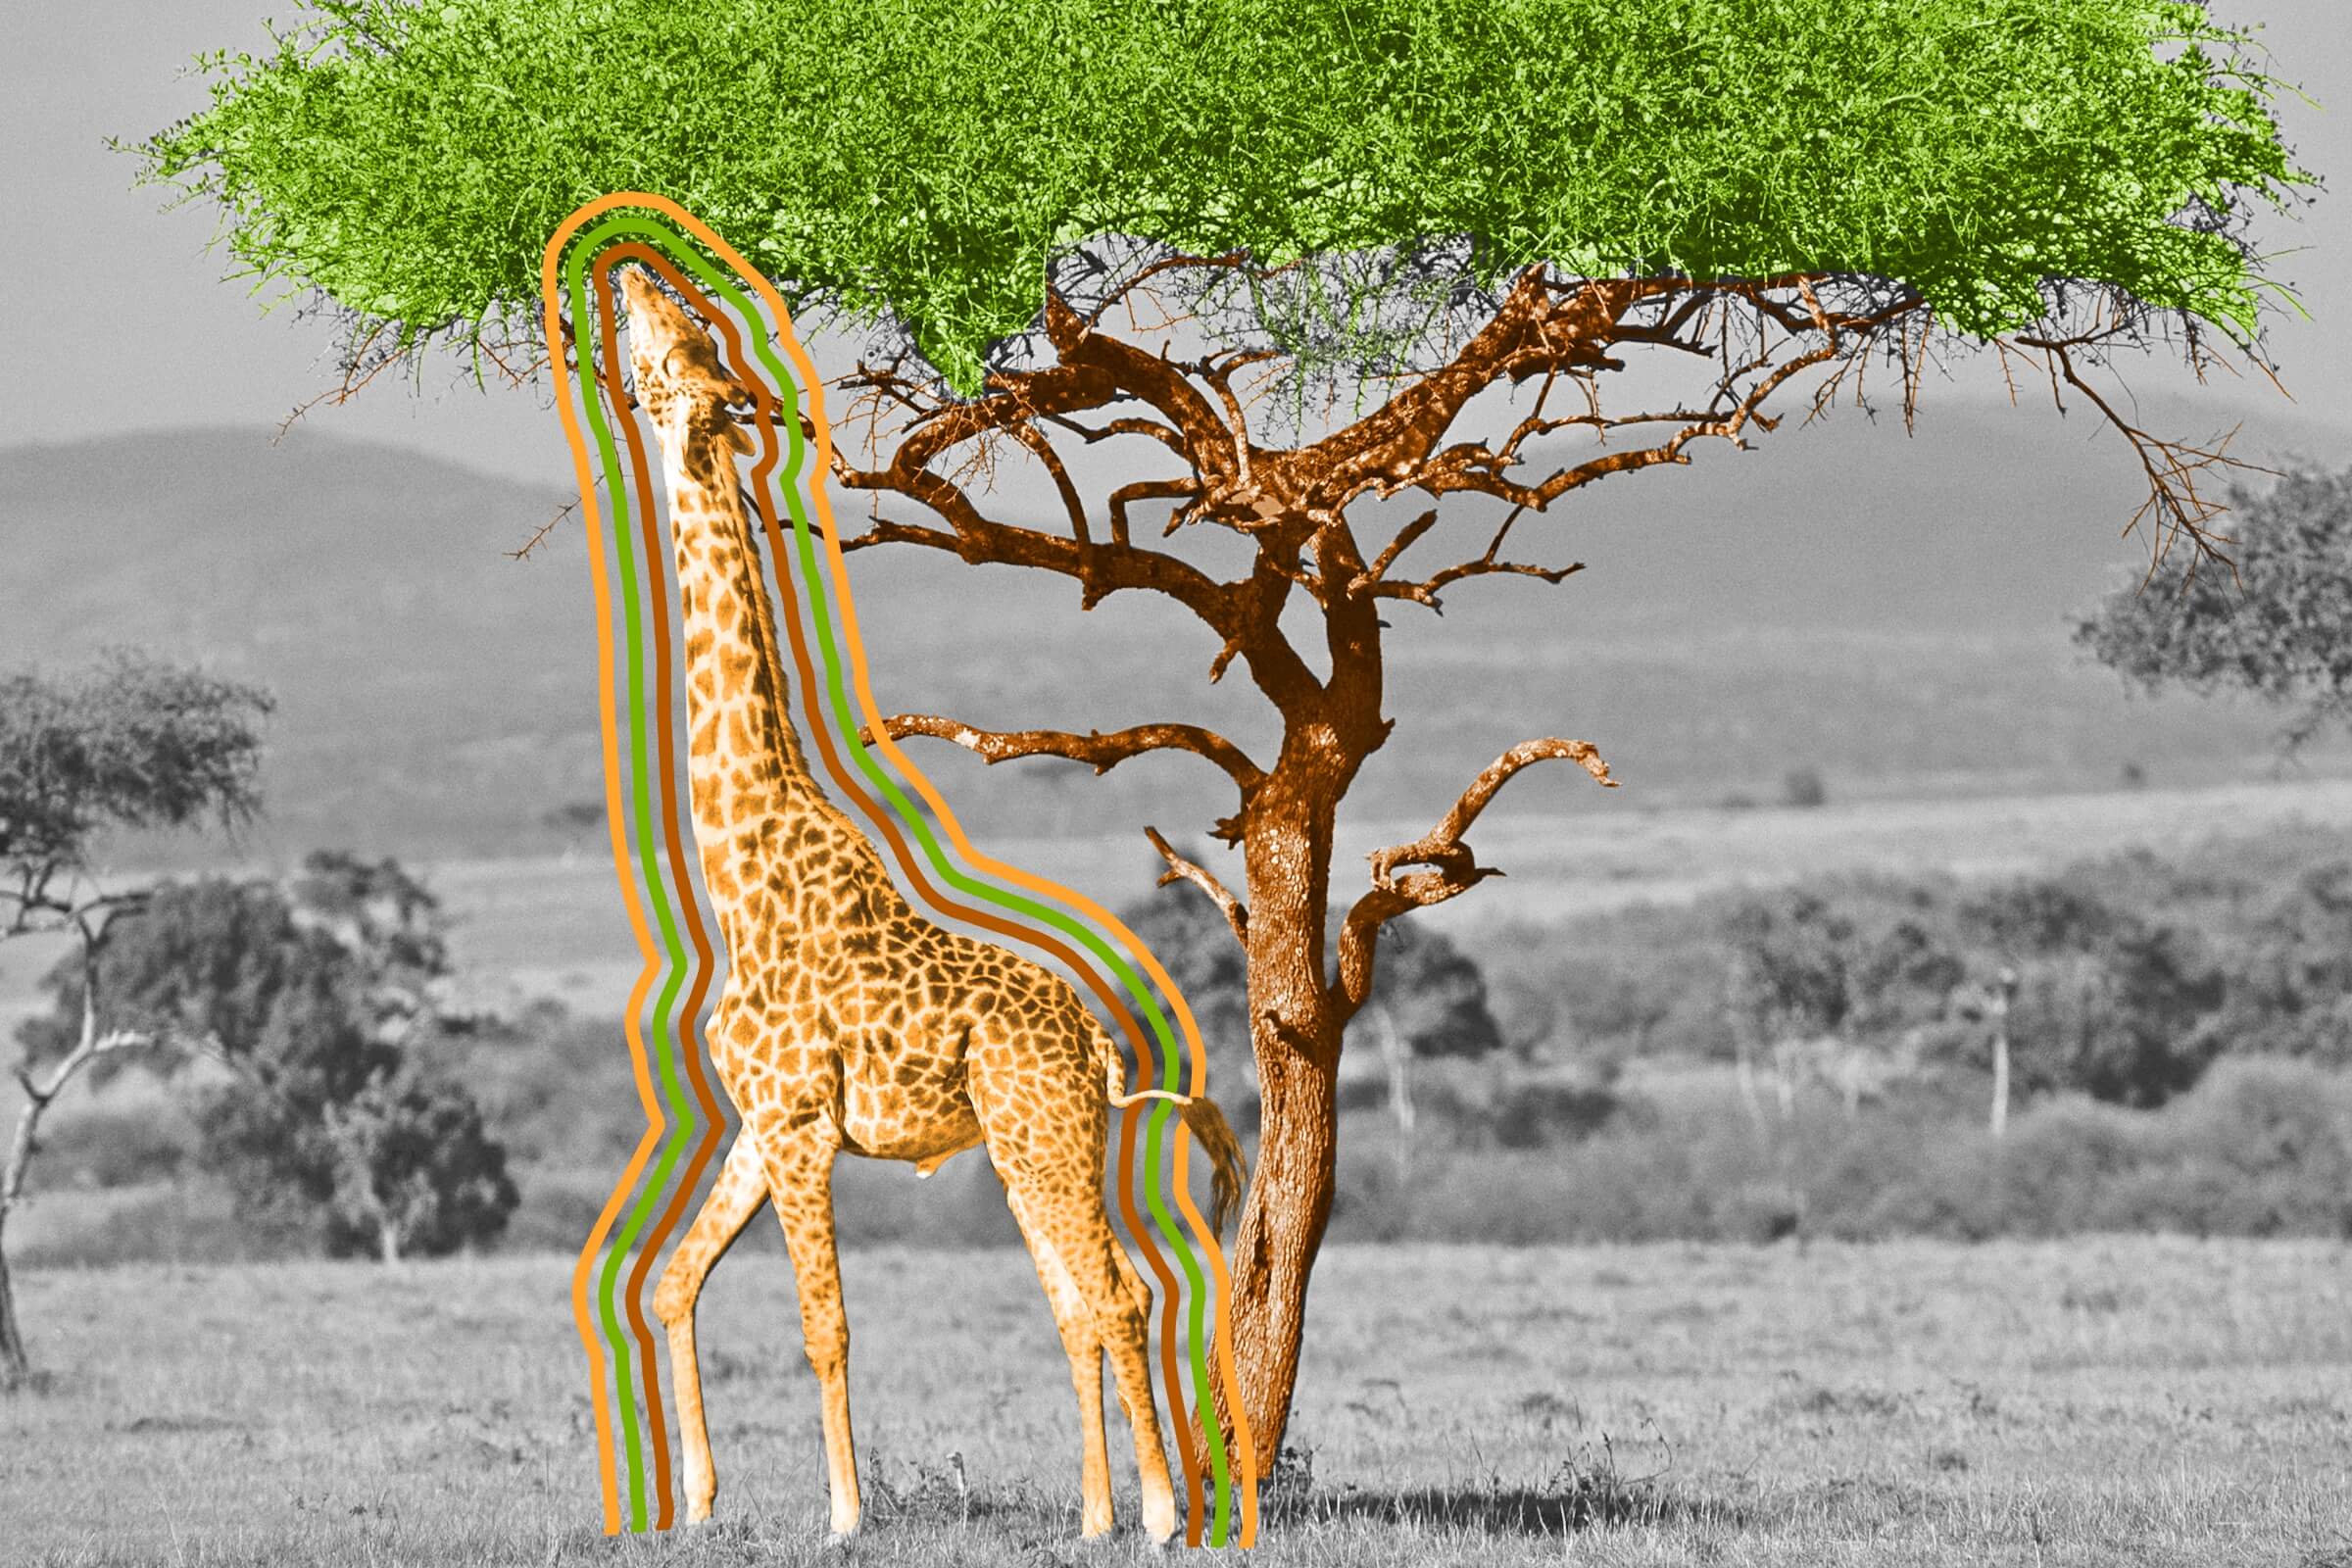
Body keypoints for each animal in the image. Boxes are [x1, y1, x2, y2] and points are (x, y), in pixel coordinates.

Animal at [613, 266, 1246, 1544]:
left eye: (685, 343)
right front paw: (697, 1502)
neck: (740, 869)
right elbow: (671, 1280)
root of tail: (1095, 1038)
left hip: (1040, 1129)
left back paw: (1161, 1514)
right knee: (1077, 1299)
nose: (635, 276)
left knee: (1116, 1292)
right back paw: (1094, 1516)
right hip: (1024, 1140)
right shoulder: (758, 1121)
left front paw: (845, 1516)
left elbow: (825, 1324)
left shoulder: (800, 1123)